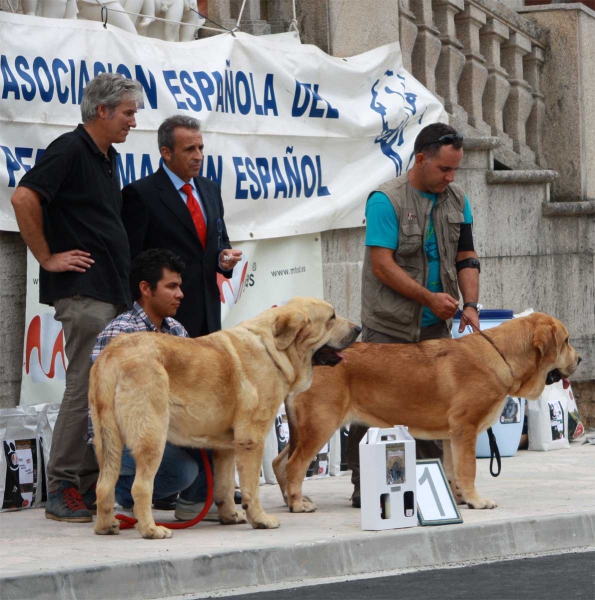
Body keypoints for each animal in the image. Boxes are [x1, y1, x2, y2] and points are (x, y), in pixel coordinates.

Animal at [90, 298, 360, 536]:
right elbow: (250, 486)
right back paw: (150, 530)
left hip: (107, 443)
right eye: (331, 317)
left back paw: (107, 526)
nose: (358, 329)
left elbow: (226, 485)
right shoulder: (251, 440)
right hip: (152, 439)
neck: (273, 349)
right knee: (140, 487)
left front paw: (229, 515)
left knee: (104, 485)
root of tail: (111, 355)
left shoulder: (227, 447)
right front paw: (260, 519)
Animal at [274, 312, 584, 512]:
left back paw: (291, 500)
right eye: (567, 340)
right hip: (321, 425)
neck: (502, 354)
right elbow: (468, 469)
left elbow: (454, 470)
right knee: (294, 466)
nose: (580, 359)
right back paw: (298, 504)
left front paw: (459, 499)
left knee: (280, 462)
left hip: (304, 430)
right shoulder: (466, 429)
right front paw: (477, 501)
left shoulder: (451, 436)